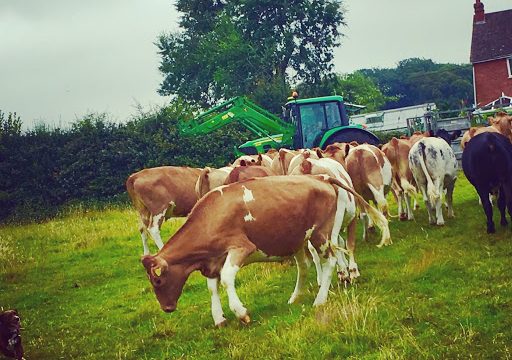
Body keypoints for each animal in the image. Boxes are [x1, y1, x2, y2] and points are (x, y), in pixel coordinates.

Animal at [140, 174, 388, 326]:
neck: (210, 217)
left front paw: (241, 313)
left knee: (331, 262)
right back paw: (295, 297)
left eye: (158, 281)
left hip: (321, 235)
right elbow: (212, 287)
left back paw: (320, 299)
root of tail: (320, 177)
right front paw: (219, 318)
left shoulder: (240, 248)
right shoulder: (212, 261)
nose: (167, 308)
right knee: (304, 267)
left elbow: (227, 279)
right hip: (299, 240)